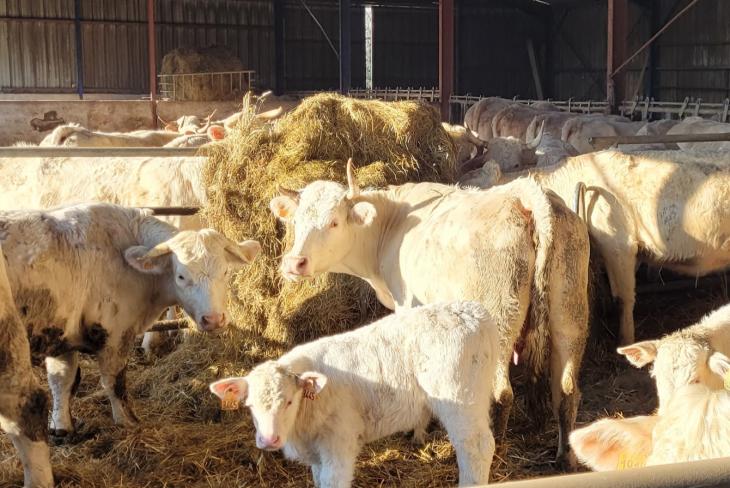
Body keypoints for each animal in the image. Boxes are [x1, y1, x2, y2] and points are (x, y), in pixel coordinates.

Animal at [0, 203, 260, 443]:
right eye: (181, 276)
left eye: (225, 272)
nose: (213, 319)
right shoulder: (115, 334)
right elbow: (114, 382)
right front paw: (128, 421)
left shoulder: (62, 334)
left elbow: (61, 381)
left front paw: (62, 427)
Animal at [210, 301, 498, 486]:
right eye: (250, 406)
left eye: (290, 401)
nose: (268, 440)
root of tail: (472, 313)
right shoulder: (318, 453)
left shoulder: (339, 442)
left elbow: (332, 482)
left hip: (460, 398)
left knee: (477, 448)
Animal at [268, 160, 590, 464]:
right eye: (297, 221)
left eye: (334, 222)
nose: (295, 262)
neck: (391, 227)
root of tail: (524, 194)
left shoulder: (407, 307)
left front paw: (418, 431)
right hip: (569, 312)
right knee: (567, 389)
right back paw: (565, 457)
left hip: (500, 320)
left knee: (503, 394)